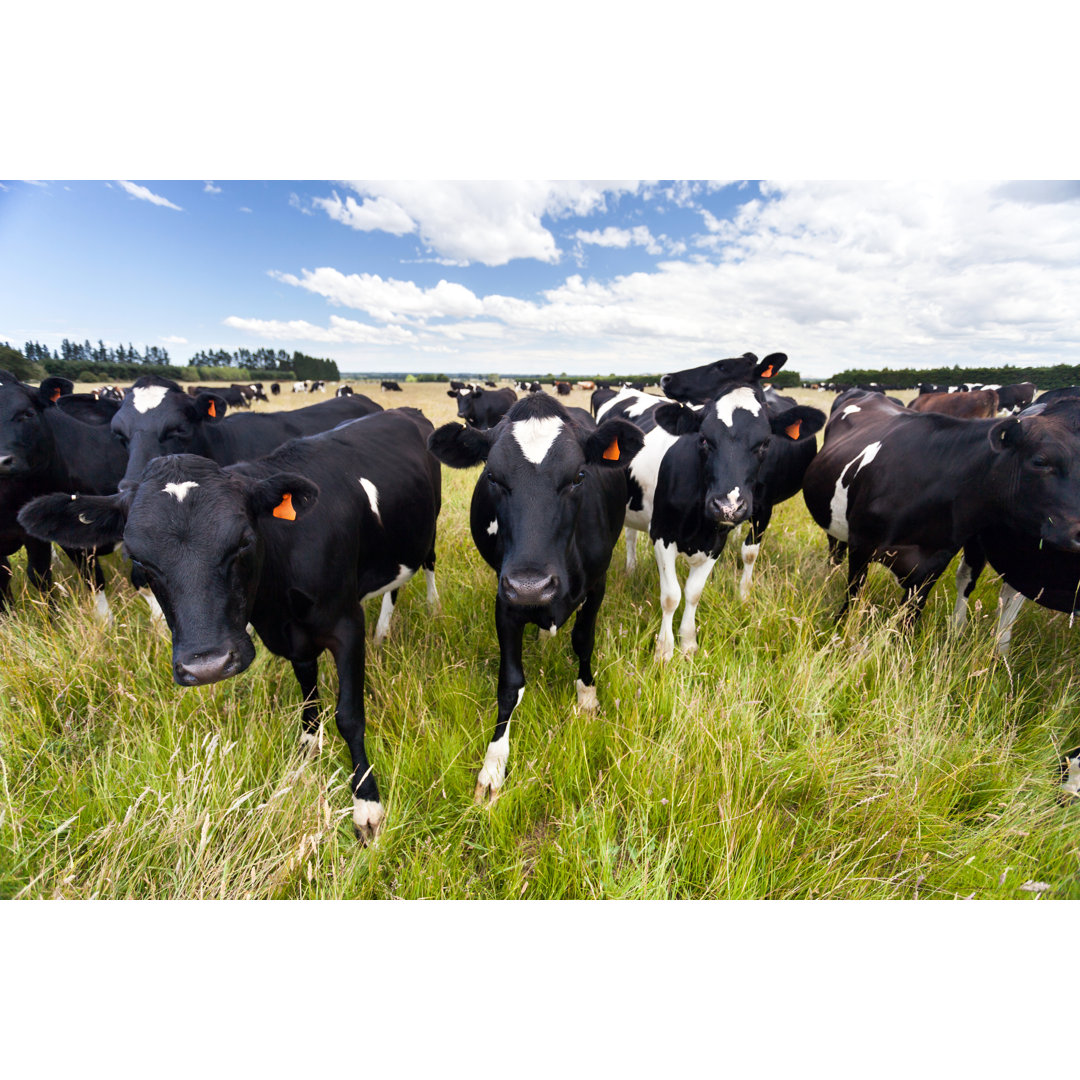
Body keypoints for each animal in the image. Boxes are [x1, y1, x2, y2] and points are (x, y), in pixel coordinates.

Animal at [19, 407, 442, 842]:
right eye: (138, 558)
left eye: (243, 541)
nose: (207, 665)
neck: (277, 600)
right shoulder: (292, 635)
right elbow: (308, 692)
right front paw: (308, 748)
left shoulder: (346, 624)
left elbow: (349, 715)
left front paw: (366, 806)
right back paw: (384, 633)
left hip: (426, 532)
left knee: (427, 561)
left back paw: (429, 608)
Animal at [427, 394, 644, 803]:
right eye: (492, 477)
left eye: (578, 476)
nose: (532, 585)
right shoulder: (506, 597)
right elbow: (510, 682)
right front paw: (493, 766)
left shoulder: (598, 584)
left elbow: (583, 640)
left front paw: (587, 698)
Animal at [658, 351, 826, 599]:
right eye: (703, 438)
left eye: (721, 367)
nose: (666, 378)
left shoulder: (765, 506)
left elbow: (750, 552)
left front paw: (744, 594)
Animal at [802, 389, 1080, 625]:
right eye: (1040, 461)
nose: (1079, 532)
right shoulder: (862, 545)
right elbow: (852, 597)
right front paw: (840, 627)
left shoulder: (935, 561)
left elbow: (910, 616)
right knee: (835, 549)